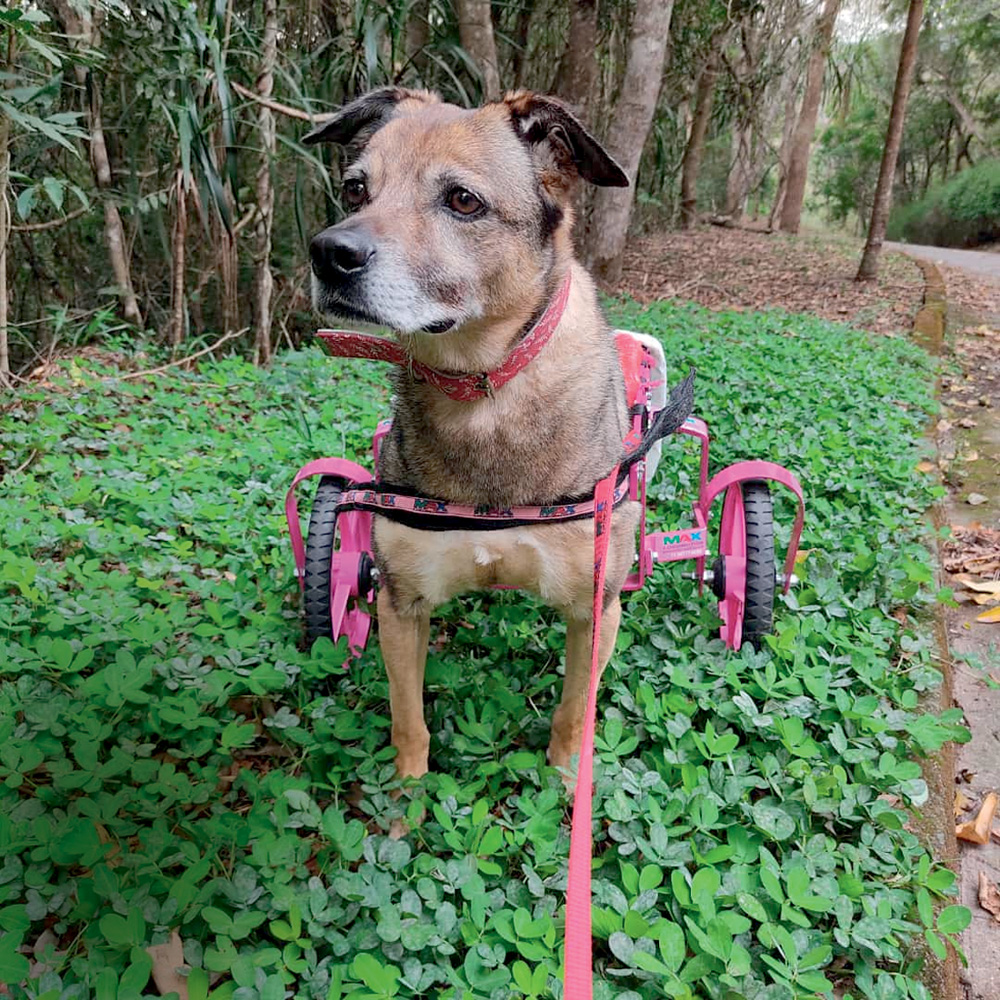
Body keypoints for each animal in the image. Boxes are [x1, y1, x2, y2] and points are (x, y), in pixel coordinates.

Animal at [306, 88, 640, 780]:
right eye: (355, 189)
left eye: (463, 200)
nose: (329, 253)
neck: (482, 386)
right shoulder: (400, 602)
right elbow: (408, 721)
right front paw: (405, 795)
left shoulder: (594, 608)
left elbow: (575, 711)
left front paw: (565, 779)